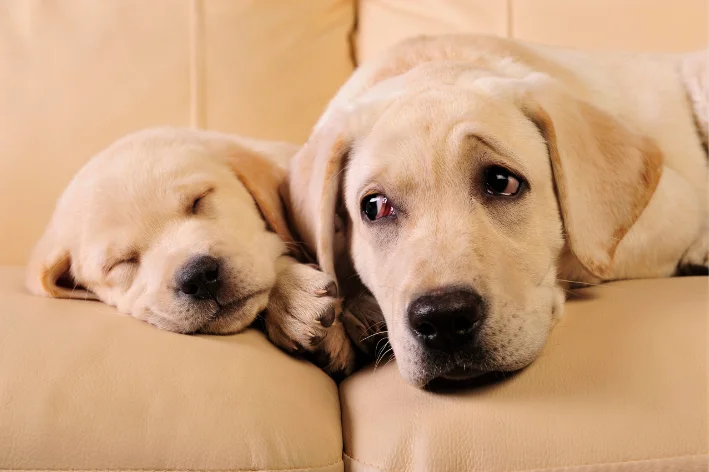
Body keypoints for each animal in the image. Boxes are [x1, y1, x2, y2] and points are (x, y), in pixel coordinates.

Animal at [284, 34, 704, 388]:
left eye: (502, 182)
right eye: (375, 207)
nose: (443, 318)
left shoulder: (673, 205)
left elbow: (581, 256)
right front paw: (297, 300)